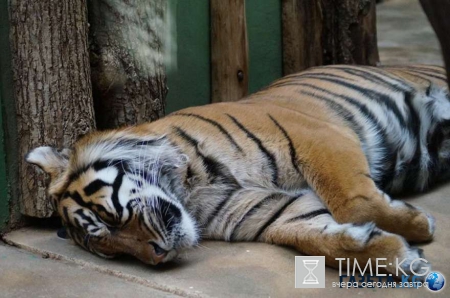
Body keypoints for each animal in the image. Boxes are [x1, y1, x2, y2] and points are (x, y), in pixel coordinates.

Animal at [26, 64, 448, 278]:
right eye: (113, 254)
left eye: (110, 219)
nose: (159, 256)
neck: (189, 191)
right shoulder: (266, 210)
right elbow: (315, 237)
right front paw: (400, 255)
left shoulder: (317, 136)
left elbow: (354, 203)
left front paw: (420, 224)